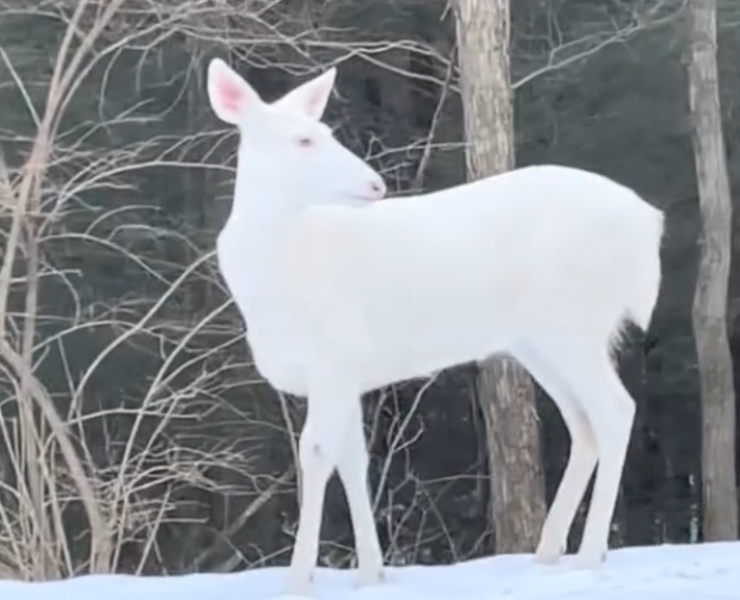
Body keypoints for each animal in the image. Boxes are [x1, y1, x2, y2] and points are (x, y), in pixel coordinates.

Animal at [205, 57, 664, 596]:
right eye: (303, 139)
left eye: (325, 132)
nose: (375, 185)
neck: (280, 272)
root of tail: (648, 224)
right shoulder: (348, 371)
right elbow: (353, 459)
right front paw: (372, 572)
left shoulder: (334, 358)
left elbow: (317, 454)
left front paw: (299, 578)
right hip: (540, 340)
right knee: (584, 423)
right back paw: (548, 553)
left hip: (572, 322)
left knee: (615, 410)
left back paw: (590, 554)